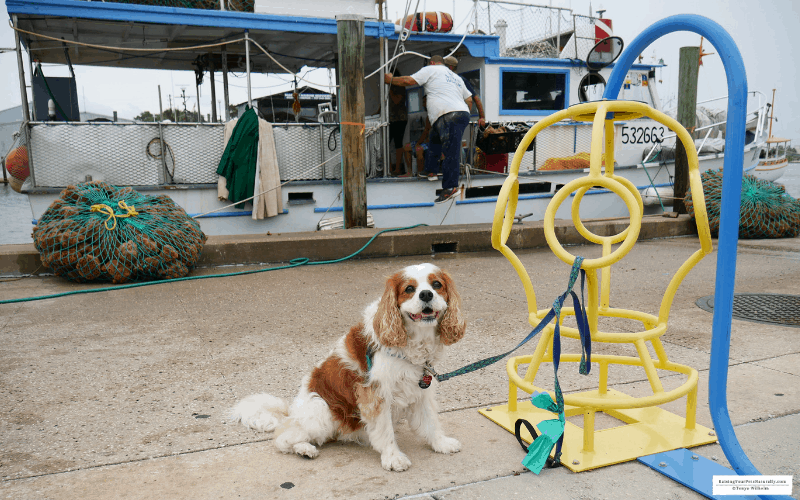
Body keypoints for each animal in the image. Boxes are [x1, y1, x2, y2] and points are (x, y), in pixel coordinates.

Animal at [228, 264, 466, 470]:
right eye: (409, 289)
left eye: (436, 285)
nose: (426, 295)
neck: (412, 342)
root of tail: (292, 410)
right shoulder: (375, 394)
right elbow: (385, 431)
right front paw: (393, 458)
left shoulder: (420, 389)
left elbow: (430, 422)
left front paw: (441, 444)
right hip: (322, 411)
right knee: (283, 437)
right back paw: (304, 449)